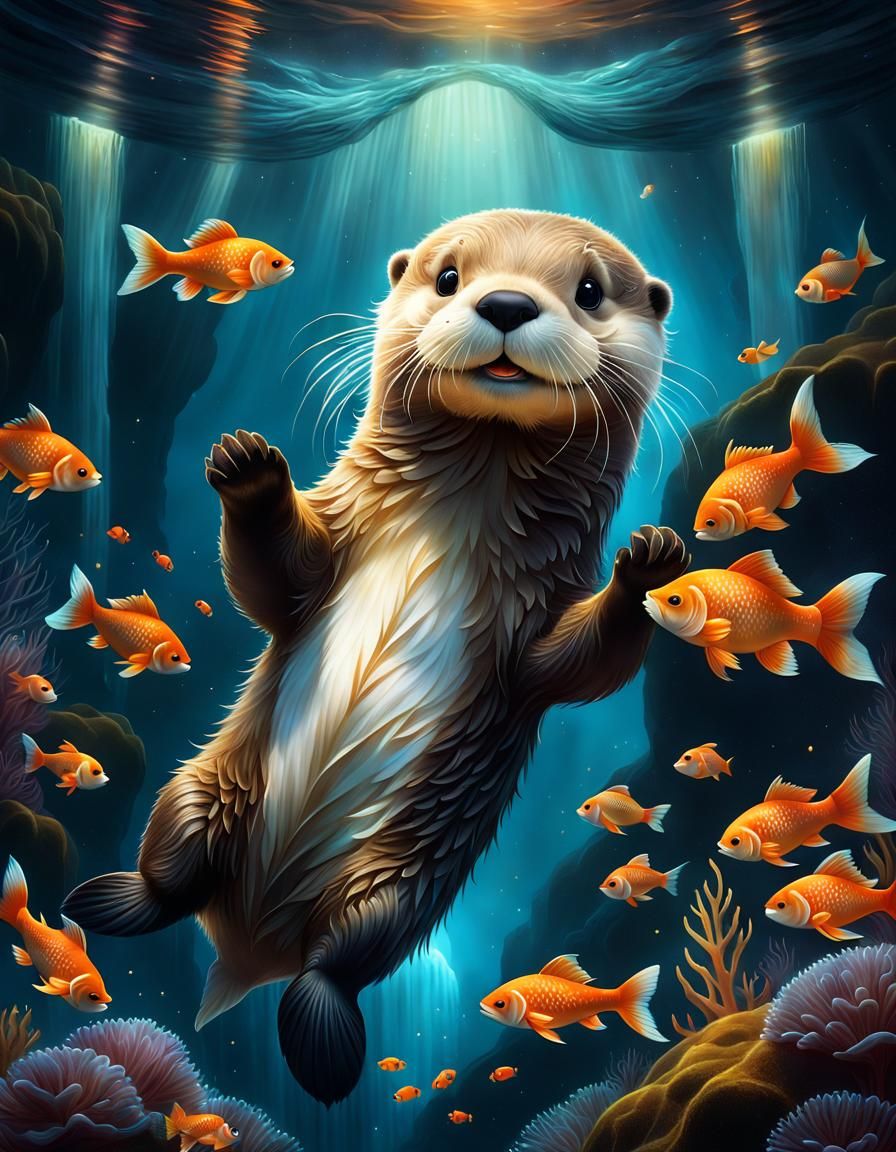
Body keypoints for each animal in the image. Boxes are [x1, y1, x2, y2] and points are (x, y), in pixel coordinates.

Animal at [65, 210, 689, 1104]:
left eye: (591, 290)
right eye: (449, 276)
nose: (506, 304)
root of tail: (251, 946)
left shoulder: (534, 621)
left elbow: (579, 666)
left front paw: (650, 559)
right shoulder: (336, 539)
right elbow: (272, 582)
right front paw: (249, 466)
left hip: (396, 890)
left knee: (337, 965)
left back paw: (322, 1048)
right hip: (198, 793)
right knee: (169, 878)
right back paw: (101, 901)